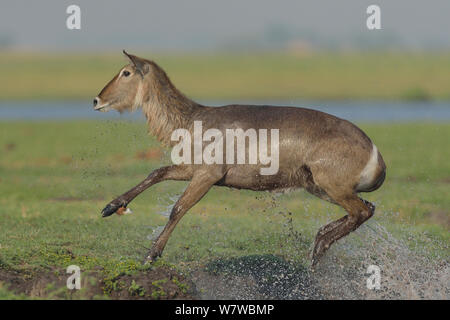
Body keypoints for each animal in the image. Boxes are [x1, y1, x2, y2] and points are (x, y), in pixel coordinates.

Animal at [94, 51, 386, 264]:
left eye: (126, 72)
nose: (96, 100)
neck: (191, 120)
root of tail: (376, 154)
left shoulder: (207, 175)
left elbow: (178, 208)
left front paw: (151, 254)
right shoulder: (191, 169)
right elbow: (156, 173)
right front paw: (110, 207)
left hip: (331, 186)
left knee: (361, 211)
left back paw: (319, 246)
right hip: (318, 187)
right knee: (367, 209)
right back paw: (319, 242)